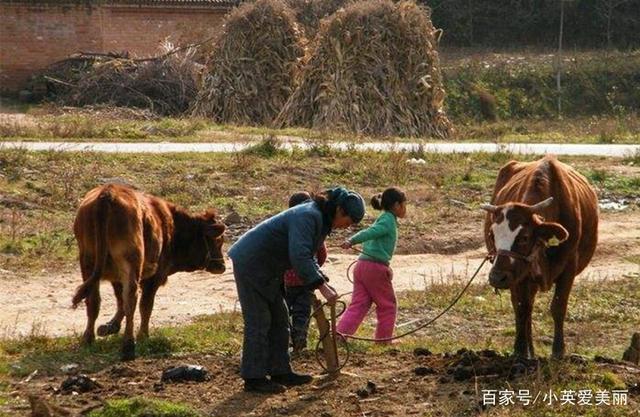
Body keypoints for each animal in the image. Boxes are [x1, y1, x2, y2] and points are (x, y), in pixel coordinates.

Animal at [71, 184, 226, 360]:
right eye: (218, 240)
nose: (221, 266)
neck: (170, 225)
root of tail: (108, 193)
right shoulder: (154, 278)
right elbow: (145, 305)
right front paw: (143, 335)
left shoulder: (116, 277)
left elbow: (119, 300)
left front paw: (110, 326)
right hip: (131, 260)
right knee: (131, 298)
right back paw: (129, 345)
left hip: (88, 261)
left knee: (94, 299)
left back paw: (88, 338)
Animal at [482, 155, 596, 358]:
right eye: (492, 235)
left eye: (524, 237)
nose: (497, 277)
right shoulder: (520, 274)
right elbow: (522, 308)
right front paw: (520, 351)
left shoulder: (569, 267)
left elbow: (558, 307)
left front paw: (558, 351)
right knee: (525, 308)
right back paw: (529, 351)